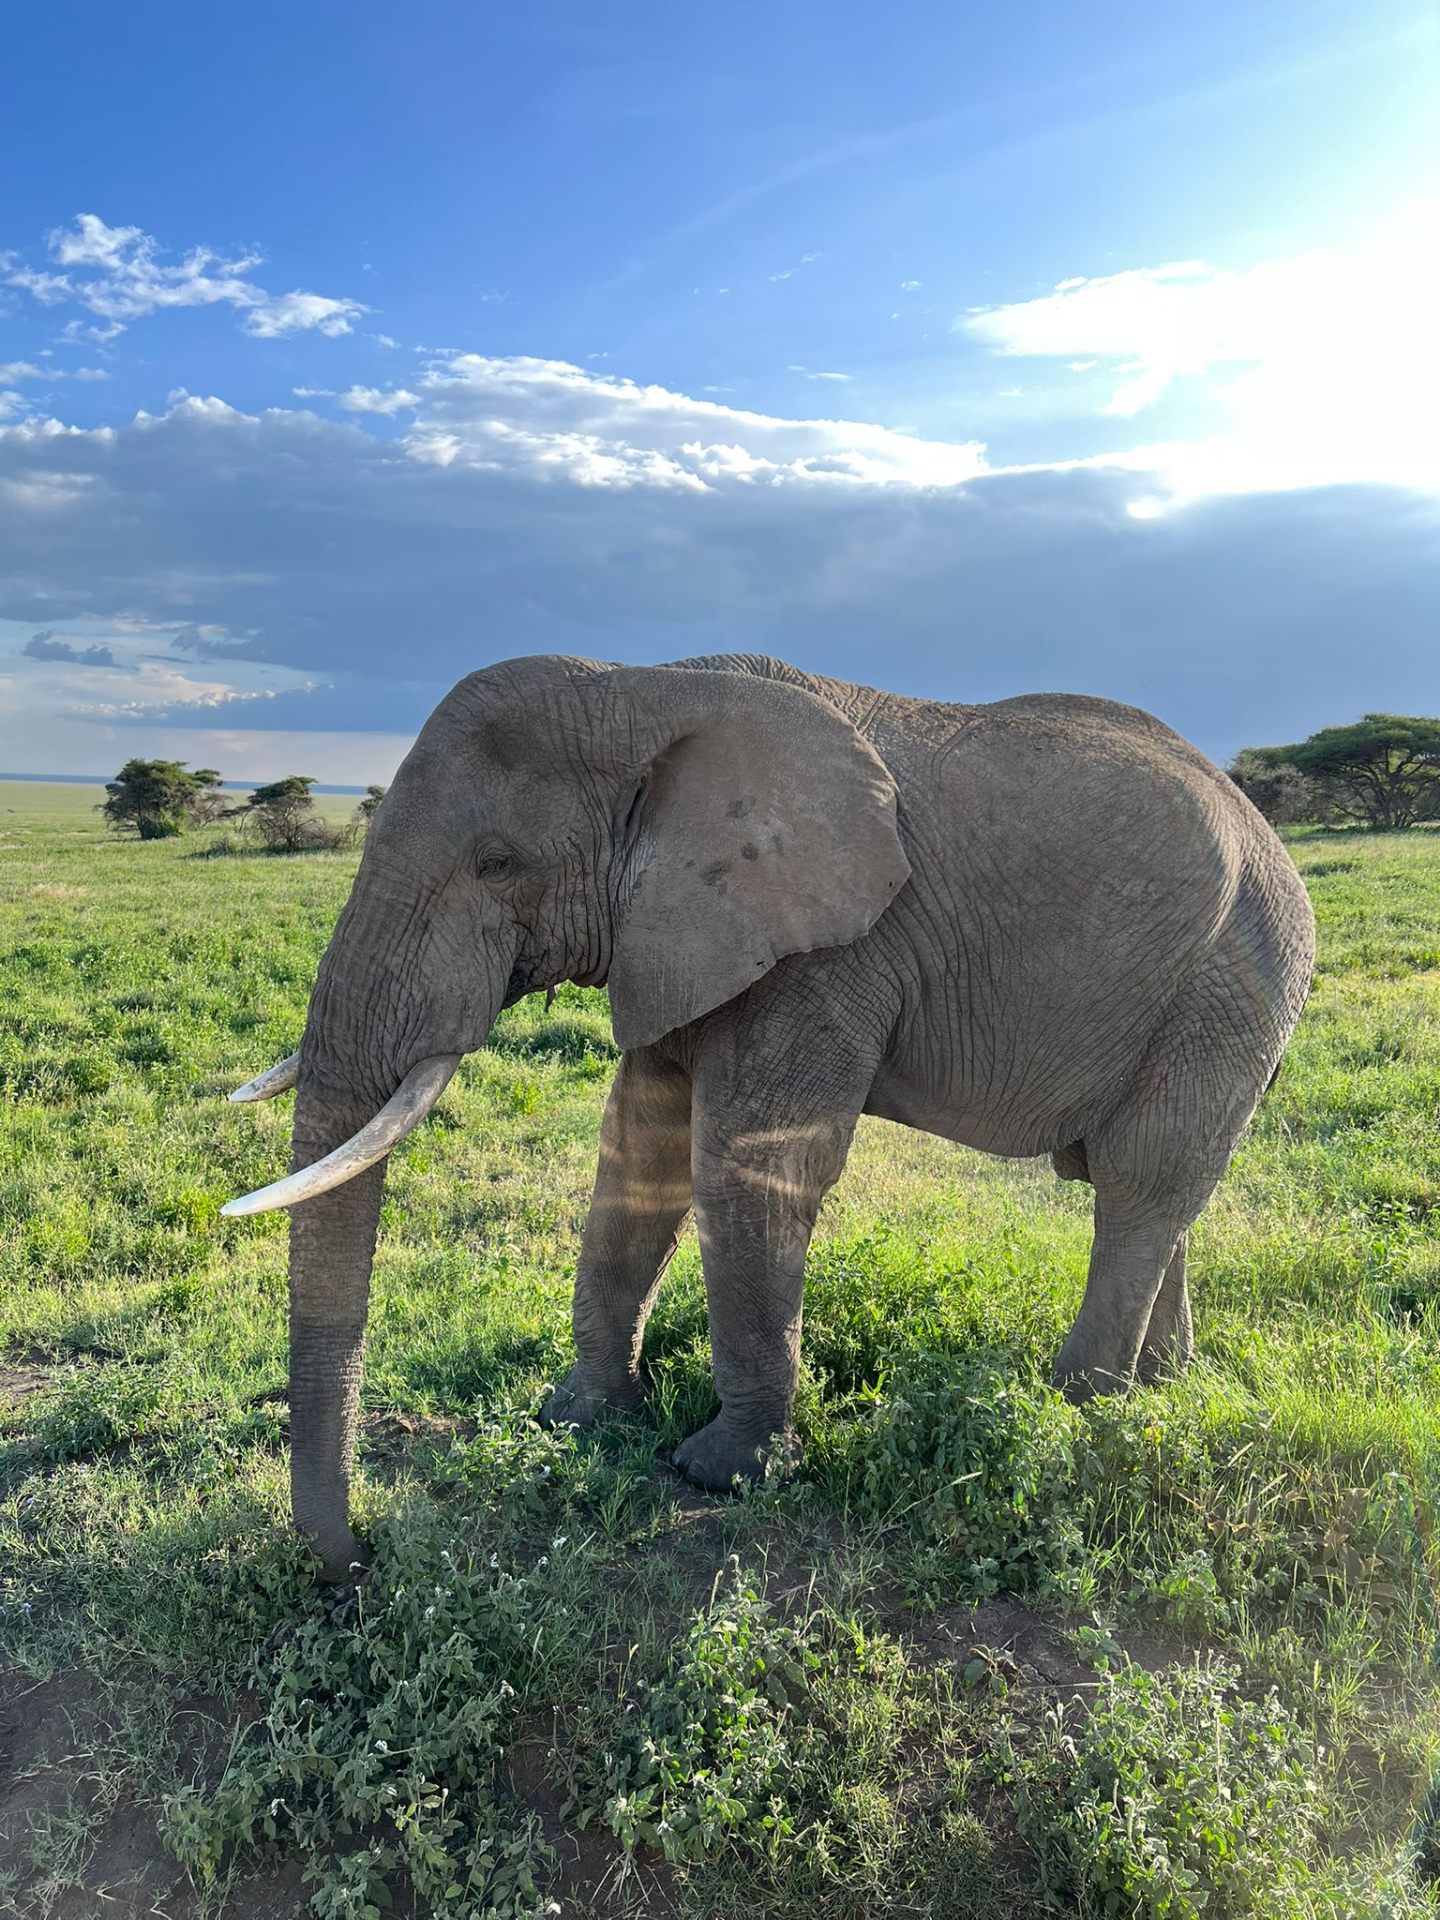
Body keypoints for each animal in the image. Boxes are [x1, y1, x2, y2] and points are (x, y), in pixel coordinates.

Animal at [224, 653, 1315, 1581]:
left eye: (496, 863)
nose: (356, 1561)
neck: (643, 692)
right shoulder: (676, 933)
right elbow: (639, 1154)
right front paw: (577, 1419)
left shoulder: (823, 952)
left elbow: (743, 1169)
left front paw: (716, 1473)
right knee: (1149, 1193)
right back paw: (1164, 1383)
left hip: (1232, 988)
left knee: (1139, 1185)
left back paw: (1077, 1409)